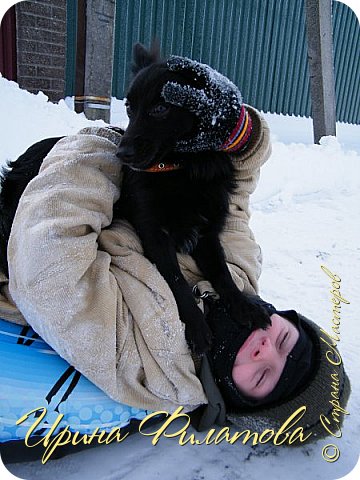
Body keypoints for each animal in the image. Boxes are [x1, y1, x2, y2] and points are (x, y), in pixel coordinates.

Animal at [0, 44, 270, 352]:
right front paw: (197, 325)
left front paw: (243, 305)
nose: (122, 154)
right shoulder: (154, 233)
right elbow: (176, 280)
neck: (181, 171)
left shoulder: (206, 232)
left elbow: (222, 271)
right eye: (130, 107)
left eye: (161, 108)